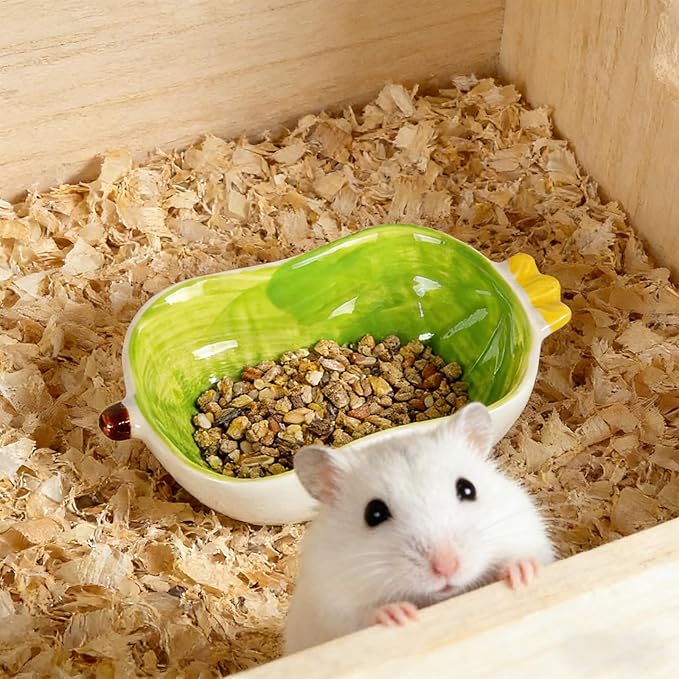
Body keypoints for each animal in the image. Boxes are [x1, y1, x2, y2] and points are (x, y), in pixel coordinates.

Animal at [283, 402, 555, 655]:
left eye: (468, 489)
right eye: (374, 514)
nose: (446, 567)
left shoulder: (524, 530)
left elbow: (526, 556)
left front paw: (522, 574)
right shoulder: (333, 605)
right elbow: (363, 617)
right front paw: (399, 614)